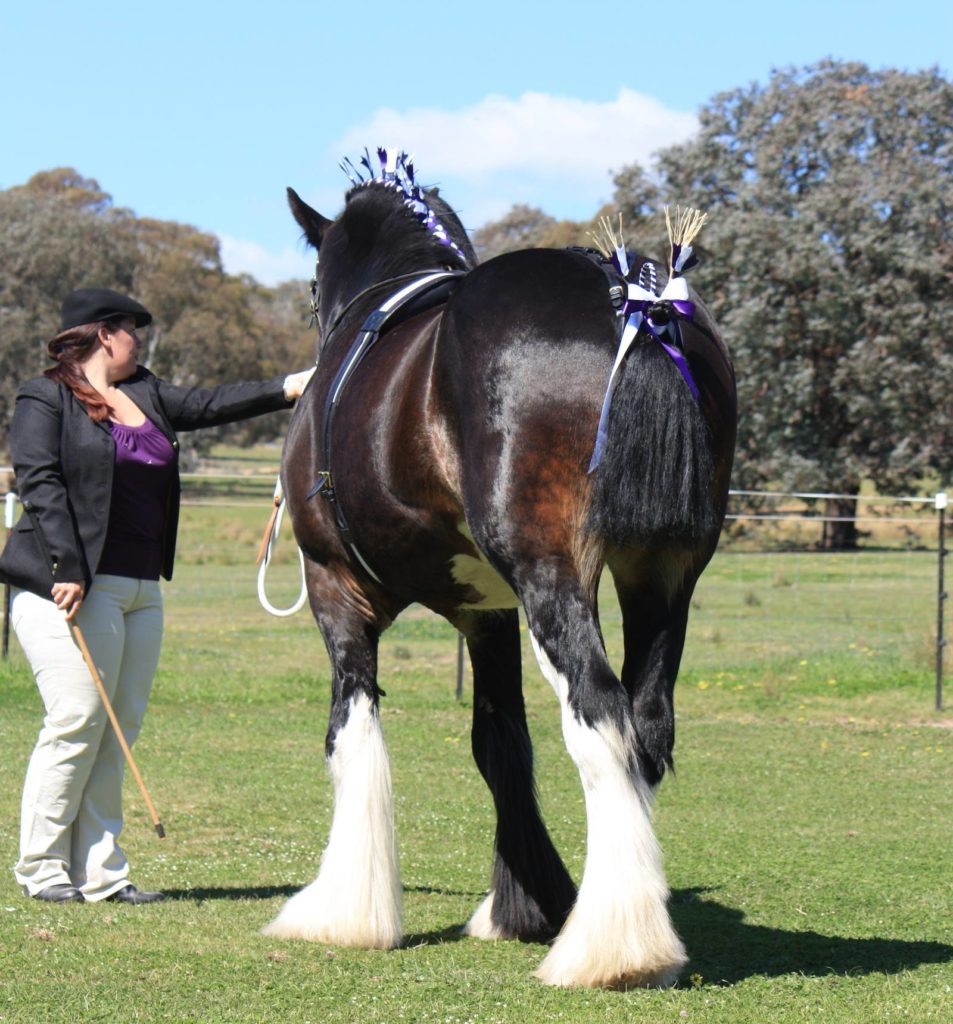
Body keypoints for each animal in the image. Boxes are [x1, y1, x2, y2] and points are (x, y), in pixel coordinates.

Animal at [262, 152, 737, 989]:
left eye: (312, 285)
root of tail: (636, 306)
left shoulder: (333, 586)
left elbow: (352, 729)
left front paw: (343, 911)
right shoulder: (487, 612)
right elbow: (499, 740)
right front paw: (529, 902)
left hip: (553, 576)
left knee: (599, 711)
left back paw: (612, 948)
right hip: (664, 576)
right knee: (645, 721)